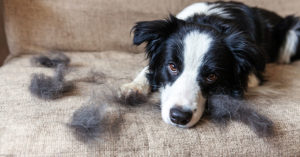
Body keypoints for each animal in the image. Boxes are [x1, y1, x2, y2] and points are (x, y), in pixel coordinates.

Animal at [119, 1, 300, 127]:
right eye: (172, 66)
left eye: (212, 76)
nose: (179, 117)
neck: (209, 21)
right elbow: (148, 70)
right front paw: (134, 87)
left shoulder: (254, 75)